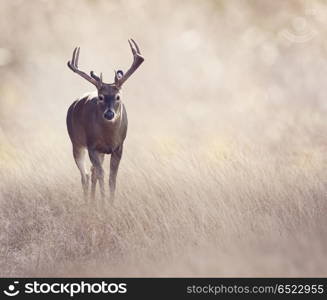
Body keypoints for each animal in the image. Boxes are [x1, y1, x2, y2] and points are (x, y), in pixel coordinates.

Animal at [66, 38, 144, 203]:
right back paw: (88, 203)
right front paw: (103, 204)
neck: (109, 137)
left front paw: (110, 204)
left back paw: (93, 201)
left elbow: (112, 178)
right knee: (85, 175)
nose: (109, 114)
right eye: (100, 97)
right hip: (76, 142)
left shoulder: (119, 147)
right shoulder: (92, 146)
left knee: (91, 172)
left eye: (118, 96)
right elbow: (102, 174)